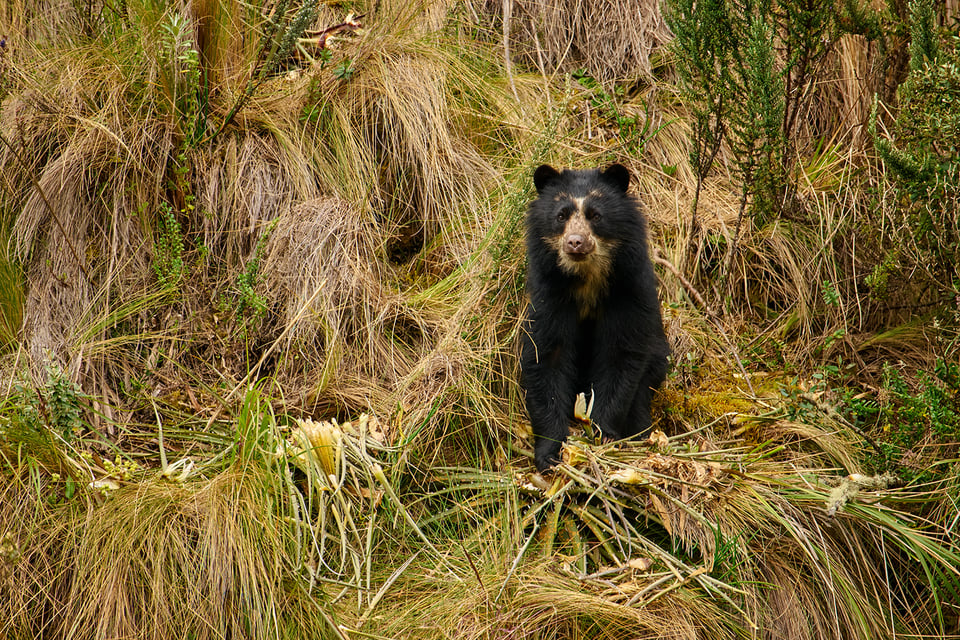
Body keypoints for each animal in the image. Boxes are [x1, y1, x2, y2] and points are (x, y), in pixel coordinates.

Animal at [520, 162, 672, 472]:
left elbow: (619, 355)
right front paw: (550, 452)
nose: (575, 242)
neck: (586, 278)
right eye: (561, 215)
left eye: (595, 215)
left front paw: (603, 435)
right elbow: (546, 356)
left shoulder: (627, 291)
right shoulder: (551, 295)